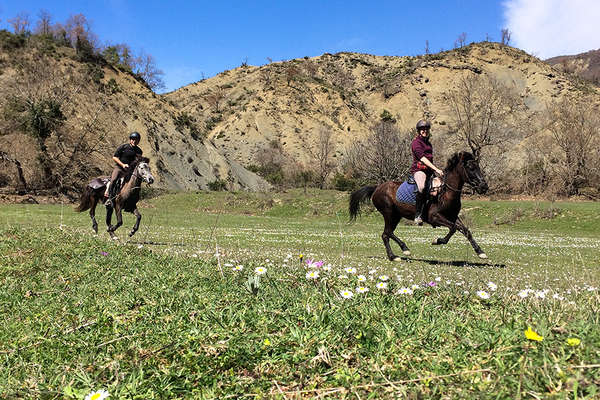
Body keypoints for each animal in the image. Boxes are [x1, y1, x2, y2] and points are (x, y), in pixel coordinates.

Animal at [350, 152, 490, 260]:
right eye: (471, 168)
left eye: (477, 167)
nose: (484, 187)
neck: (446, 192)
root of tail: (377, 188)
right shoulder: (435, 217)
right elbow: (453, 228)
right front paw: (437, 240)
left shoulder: (452, 216)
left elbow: (465, 230)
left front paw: (480, 252)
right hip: (389, 213)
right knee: (387, 233)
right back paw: (398, 253)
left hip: (396, 216)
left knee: (387, 233)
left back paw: (399, 252)